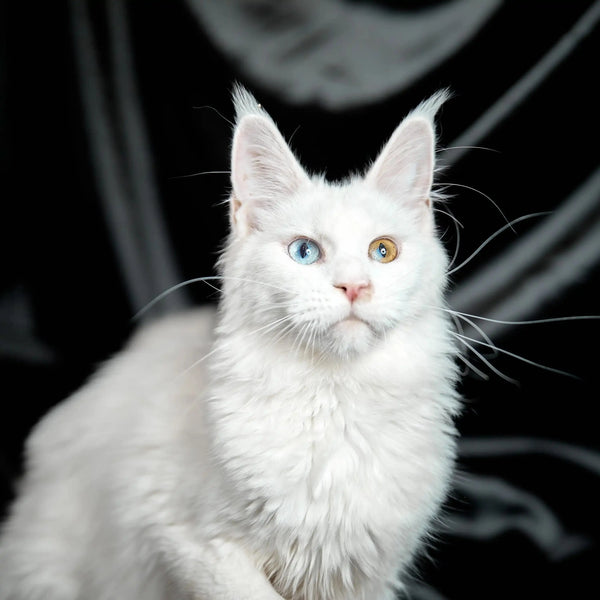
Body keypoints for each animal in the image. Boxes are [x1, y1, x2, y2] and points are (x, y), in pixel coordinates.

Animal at [0, 85, 460, 600]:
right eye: (305, 252)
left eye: (383, 252)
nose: (355, 287)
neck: (335, 397)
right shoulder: (198, 544)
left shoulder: (364, 574)